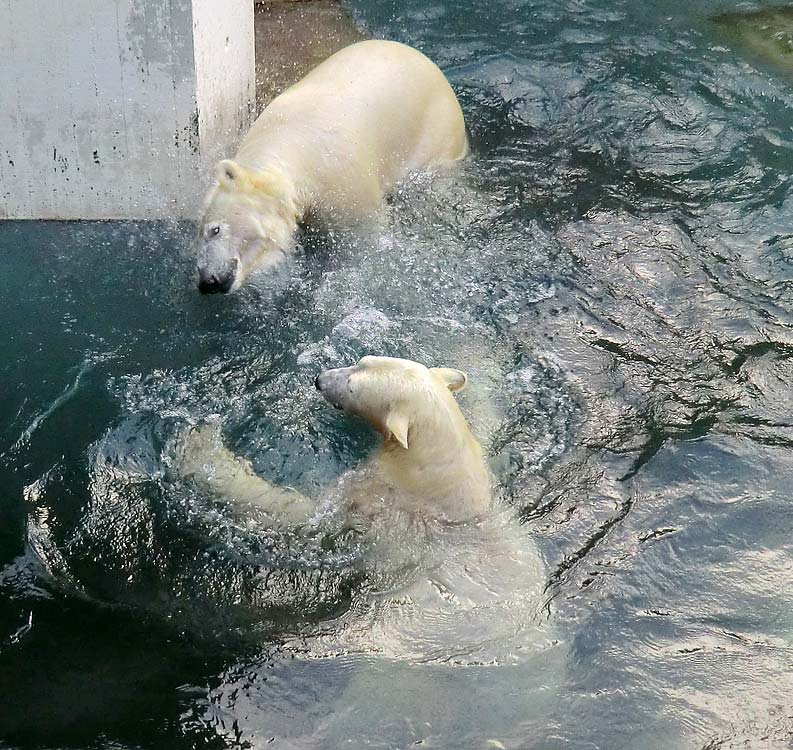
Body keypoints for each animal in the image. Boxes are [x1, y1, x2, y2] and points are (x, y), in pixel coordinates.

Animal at [178, 358, 552, 664]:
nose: (319, 379)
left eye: (354, 388)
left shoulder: (383, 496)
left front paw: (201, 449)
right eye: (362, 359)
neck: (436, 466)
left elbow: (308, 517)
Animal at [194, 40, 468, 294]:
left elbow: (361, 237)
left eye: (214, 230)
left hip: (435, 135)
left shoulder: (343, 185)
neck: (291, 142)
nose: (207, 281)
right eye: (204, 232)